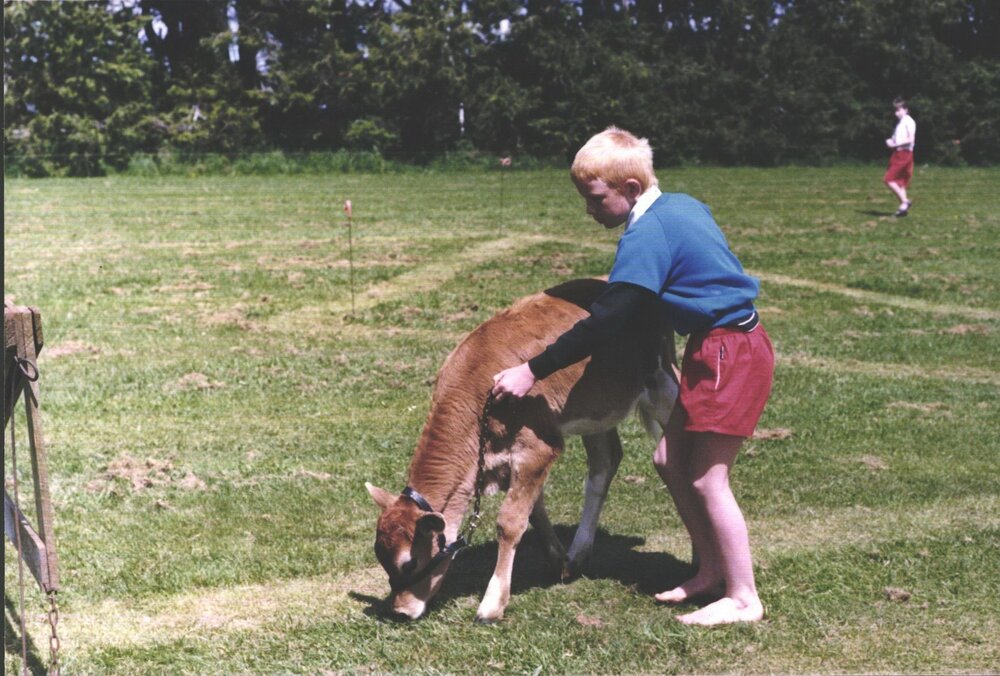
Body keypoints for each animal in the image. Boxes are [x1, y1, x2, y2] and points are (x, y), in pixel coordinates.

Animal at [366, 278, 678, 622]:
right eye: (381, 559)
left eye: (409, 563)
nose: (399, 611)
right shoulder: (507, 460)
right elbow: (534, 511)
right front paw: (559, 562)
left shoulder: (537, 449)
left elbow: (510, 521)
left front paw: (492, 603)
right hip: (597, 410)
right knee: (605, 463)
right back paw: (579, 552)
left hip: (662, 381)